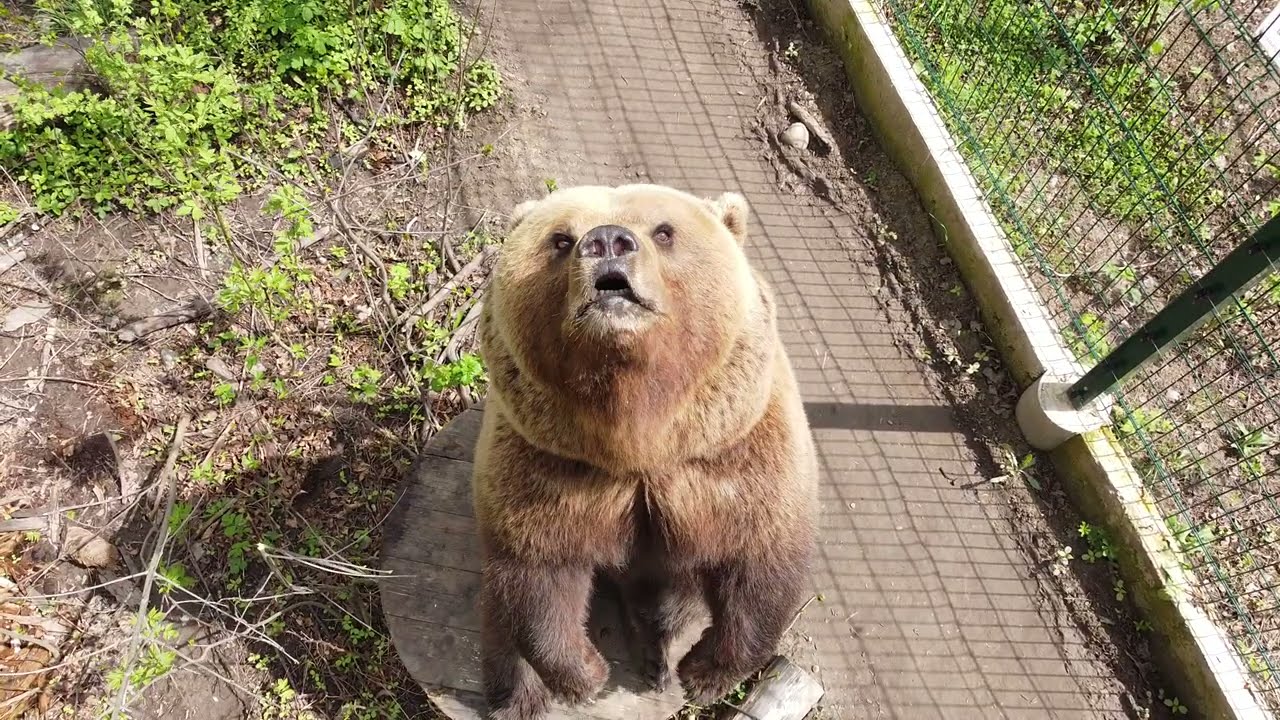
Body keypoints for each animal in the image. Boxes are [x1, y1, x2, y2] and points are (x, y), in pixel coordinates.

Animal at [471, 183, 818, 720]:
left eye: (664, 231)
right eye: (559, 239)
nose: (607, 241)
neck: (637, 433)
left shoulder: (733, 457)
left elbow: (760, 562)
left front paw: (705, 674)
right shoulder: (548, 468)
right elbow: (537, 575)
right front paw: (585, 677)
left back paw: (659, 658)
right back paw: (518, 699)